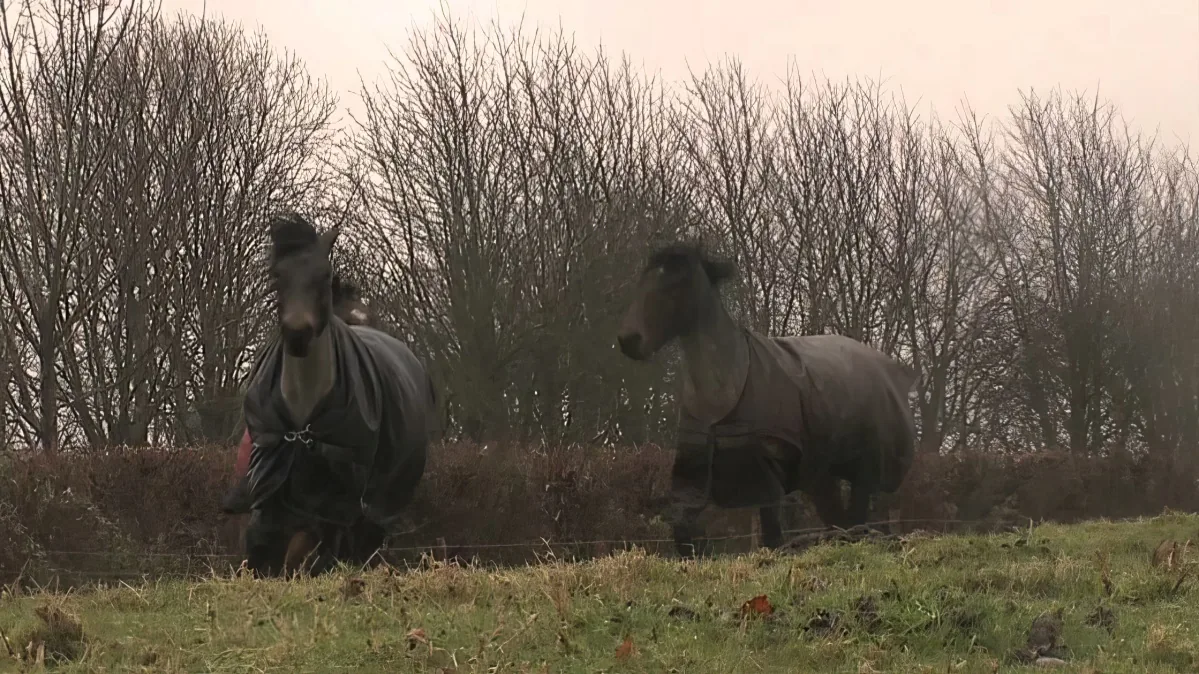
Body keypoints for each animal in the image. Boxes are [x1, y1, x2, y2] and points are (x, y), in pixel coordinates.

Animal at [237, 213, 439, 577]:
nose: (298, 334)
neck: (303, 427)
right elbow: (264, 556)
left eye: (324, 275)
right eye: (277, 274)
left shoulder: (336, 508)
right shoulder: (273, 506)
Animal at [615, 242, 917, 558]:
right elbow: (684, 536)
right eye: (643, 280)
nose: (629, 340)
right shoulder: (693, 477)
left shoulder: (766, 477)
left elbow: (773, 537)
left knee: (857, 523)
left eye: (676, 283)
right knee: (841, 524)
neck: (726, 391)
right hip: (822, 478)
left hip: (864, 473)